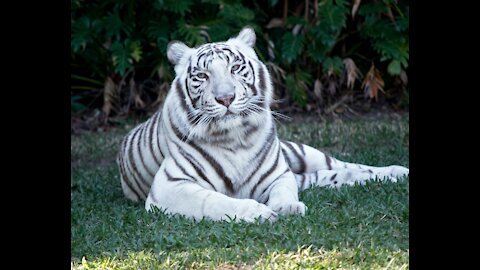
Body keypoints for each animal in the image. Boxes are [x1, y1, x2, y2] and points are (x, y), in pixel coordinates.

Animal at [117, 26, 408, 223]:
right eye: (202, 75)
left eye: (235, 68)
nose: (225, 98)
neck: (234, 137)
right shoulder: (169, 187)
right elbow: (215, 201)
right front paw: (259, 212)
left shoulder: (279, 174)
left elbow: (285, 192)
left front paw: (288, 207)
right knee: (328, 177)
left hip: (301, 153)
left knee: (346, 167)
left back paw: (397, 171)